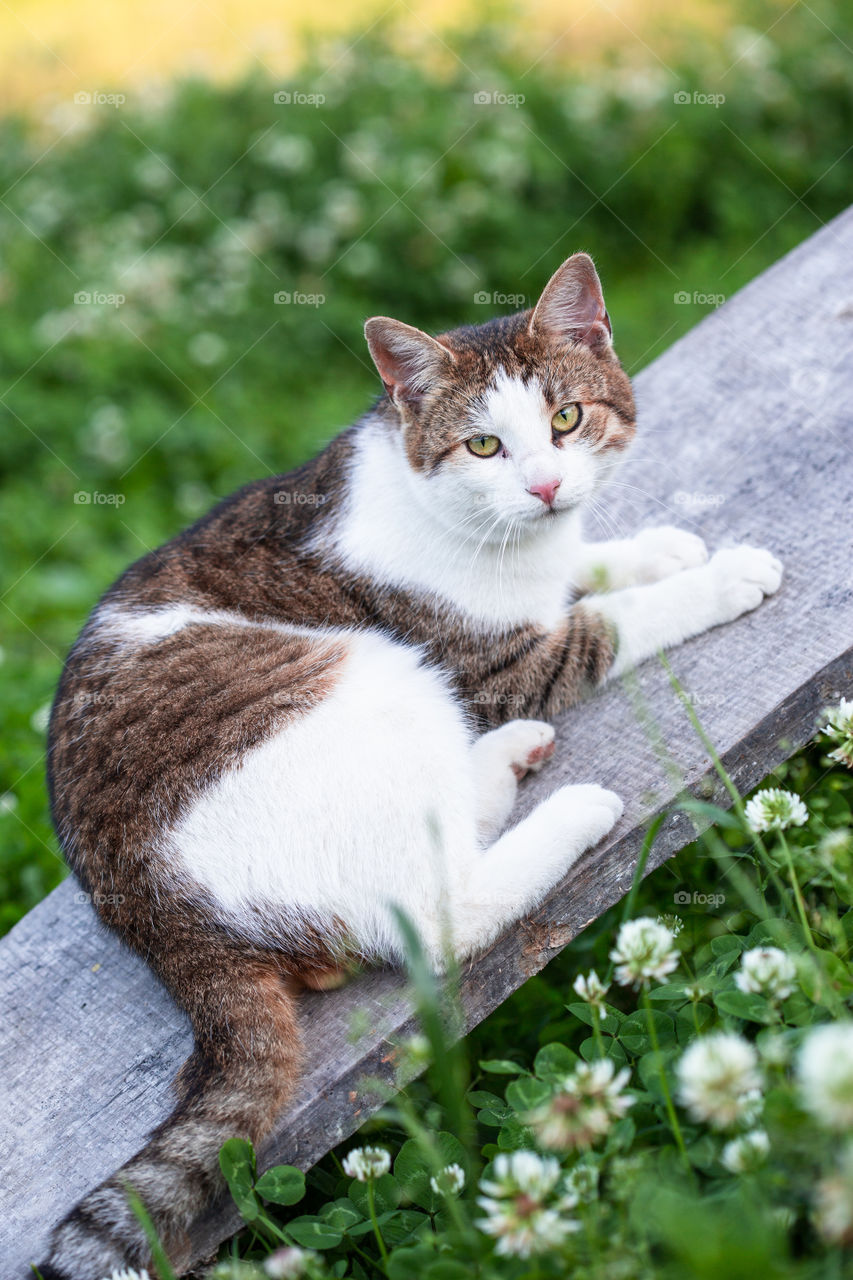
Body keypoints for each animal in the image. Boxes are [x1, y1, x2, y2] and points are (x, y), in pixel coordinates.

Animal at [43, 254, 778, 1274]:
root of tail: (153, 916)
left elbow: (582, 571)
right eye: (482, 447)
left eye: (565, 420)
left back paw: (502, 762)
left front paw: (642, 547)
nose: (545, 487)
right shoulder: (506, 667)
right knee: (437, 914)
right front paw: (712, 577)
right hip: (372, 673)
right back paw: (564, 804)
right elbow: (605, 624)